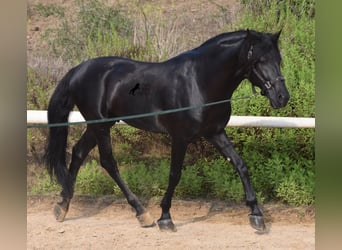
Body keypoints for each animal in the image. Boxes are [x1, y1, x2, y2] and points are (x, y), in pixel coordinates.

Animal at [44, 29, 288, 232]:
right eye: (259, 60)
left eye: (278, 59)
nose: (282, 97)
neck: (199, 81)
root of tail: (78, 70)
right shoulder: (180, 138)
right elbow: (174, 174)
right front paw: (165, 218)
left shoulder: (215, 133)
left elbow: (240, 165)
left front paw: (256, 215)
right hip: (101, 125)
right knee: (108, 162)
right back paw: (142, 214)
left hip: (99, 125)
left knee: (78, 152)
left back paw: (62, 206)